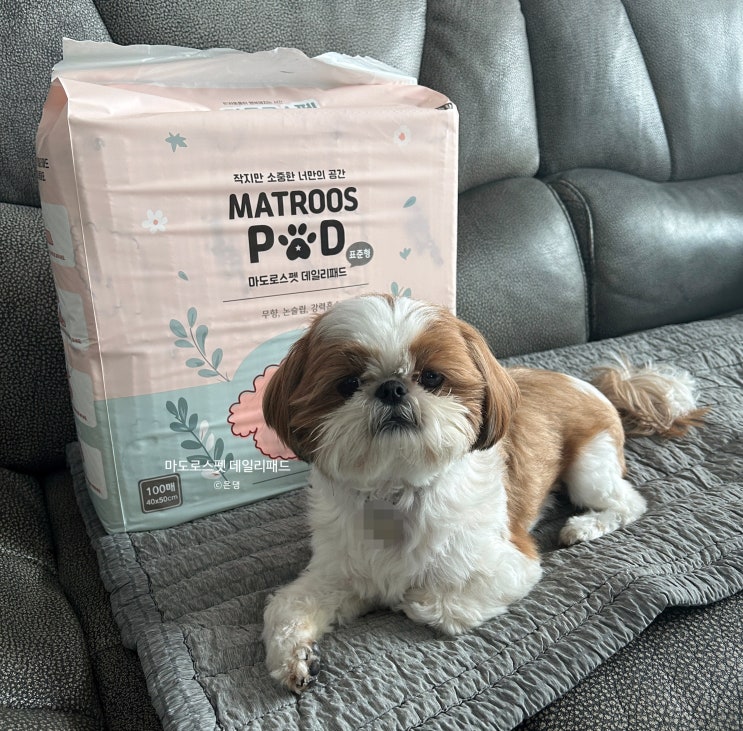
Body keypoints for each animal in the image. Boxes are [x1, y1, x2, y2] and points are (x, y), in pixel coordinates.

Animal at [261, 294, 705, 693]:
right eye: (348, 384)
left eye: (432, 378)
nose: (391, 388)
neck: (397, 489)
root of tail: (592, 385)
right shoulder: (340, 570)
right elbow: (287, 606)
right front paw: (293, 657)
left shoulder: (510, 567)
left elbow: (432, 603)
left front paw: (407, 597)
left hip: (588, 467)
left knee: (627, 501)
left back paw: (584, 527)